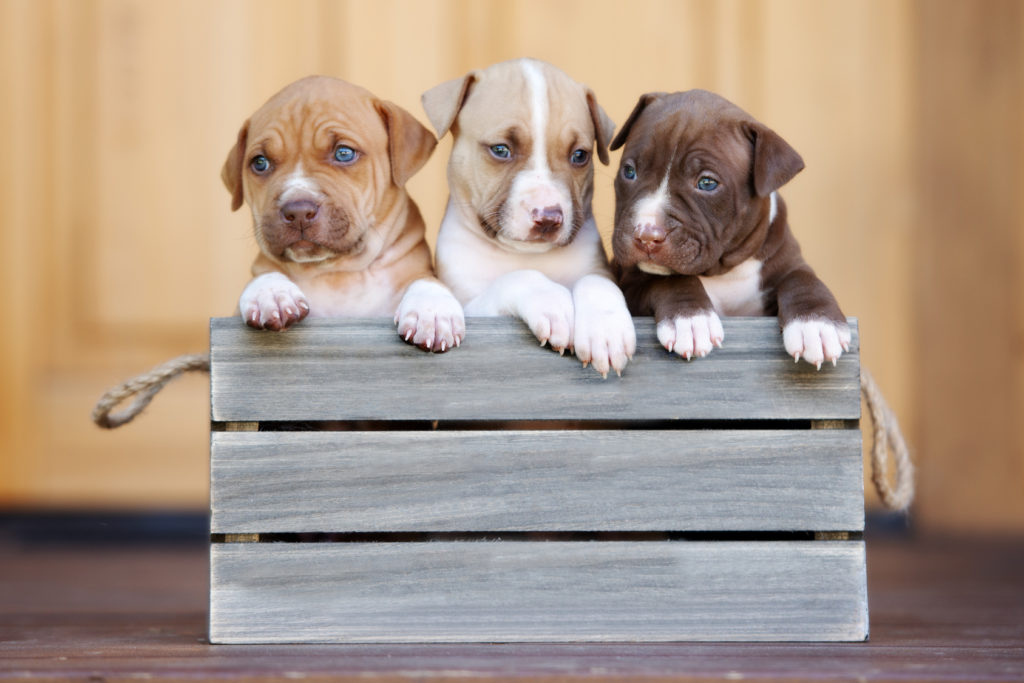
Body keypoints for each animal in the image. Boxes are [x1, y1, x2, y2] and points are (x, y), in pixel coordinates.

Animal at [225, 75, 468, 352]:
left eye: (344, 153)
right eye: (260, 163)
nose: (298, 211)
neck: (338, 273)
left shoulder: (415, 270)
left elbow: (426, 280)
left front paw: (432, 311)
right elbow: (262, 275)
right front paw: (271, 293)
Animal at [421, 58, 630, 376]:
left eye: (579, 156)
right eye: (501, 150)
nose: (548, 217)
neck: (524, 254)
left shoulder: (598, 269)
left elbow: (597, 283)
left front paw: (607, 331)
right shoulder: (473, 307)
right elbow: (520, 277)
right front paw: (552, 303)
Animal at [610, 91, 851, 370]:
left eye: (707, 183)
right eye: (629, 171)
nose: (647, 235)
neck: (723, 272)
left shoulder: (787, 263)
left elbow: (802, 279)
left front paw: (817, 324)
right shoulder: (630, 285)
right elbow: (669, 279)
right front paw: (690, 320)